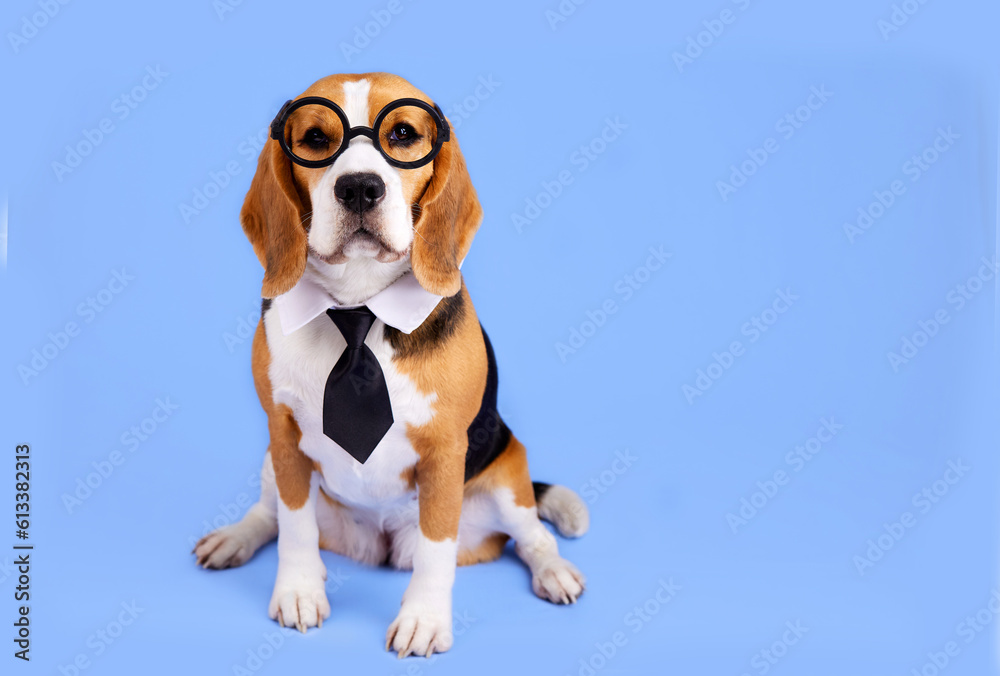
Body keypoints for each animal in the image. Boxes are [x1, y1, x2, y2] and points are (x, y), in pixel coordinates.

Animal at [193, 72, 584, 656]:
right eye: (314, 138)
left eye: (402, 133)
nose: (359, 187)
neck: (358, 308)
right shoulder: (283, 436)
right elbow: (294, 526)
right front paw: (299, 591)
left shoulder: (445, 453)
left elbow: (435, 549)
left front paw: (424, 620)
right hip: (270, 459)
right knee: (268, 514)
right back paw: (235, 538)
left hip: (507, 473)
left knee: (532, 535)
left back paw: (554, 570)